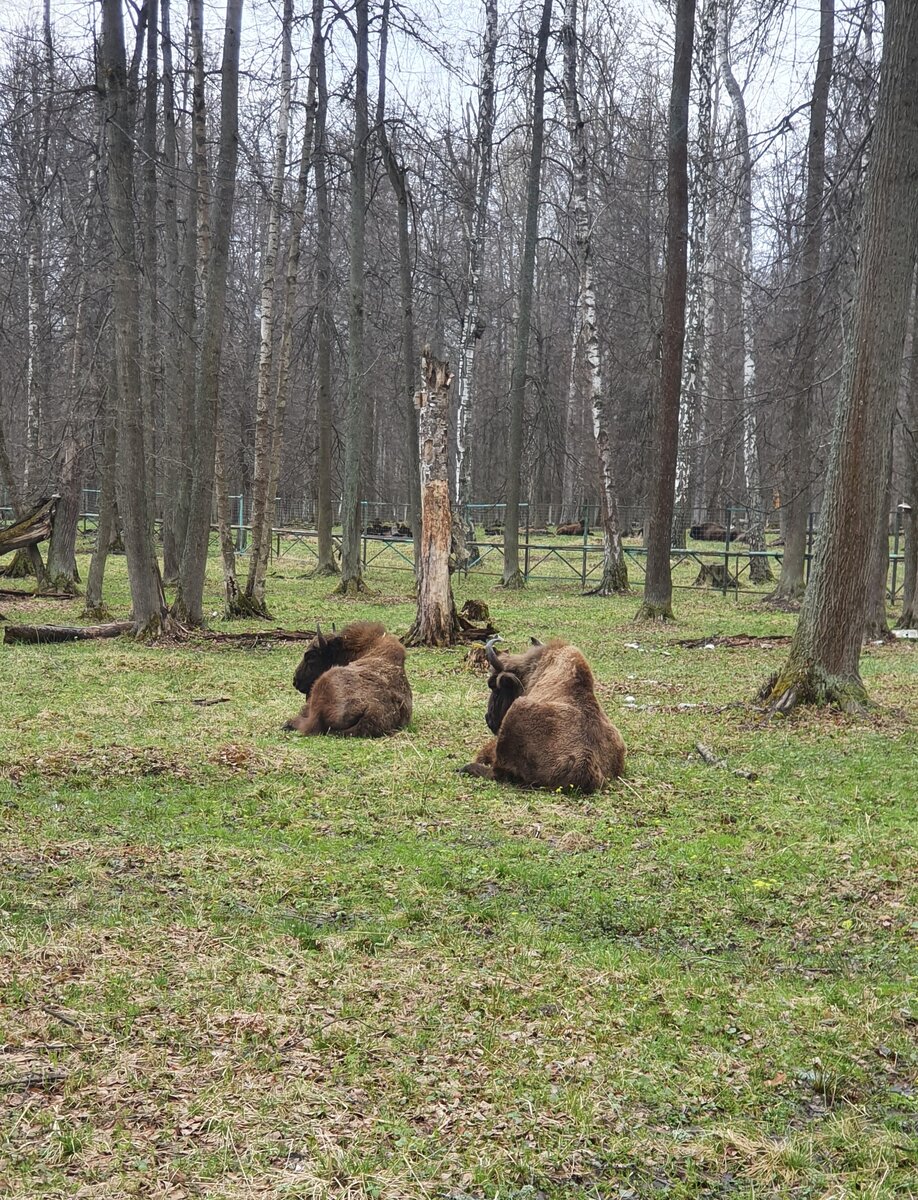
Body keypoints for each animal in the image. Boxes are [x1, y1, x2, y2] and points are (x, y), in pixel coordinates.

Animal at [460, 633, 628, 792]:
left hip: (517, 709)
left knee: (496, 772)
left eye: (494, 686)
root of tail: (586, 766)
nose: (489, 719)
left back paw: (465, 768)